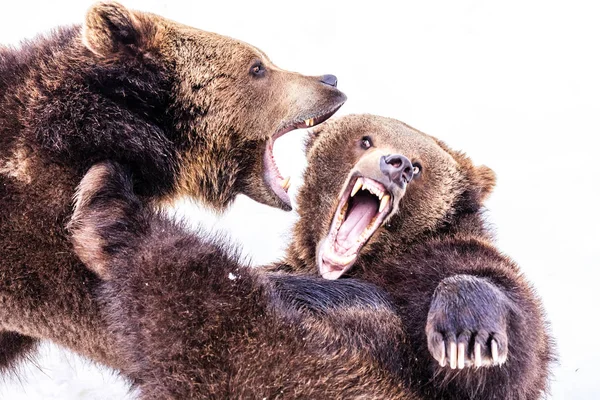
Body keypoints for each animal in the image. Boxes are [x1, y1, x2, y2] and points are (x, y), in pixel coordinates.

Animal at [69, 114, 552, 398]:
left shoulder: (440, 259)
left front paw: (466, 334)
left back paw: (110, 209)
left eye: (420, 166)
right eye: (365, 139)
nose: (396, 163)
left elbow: (511, 344)